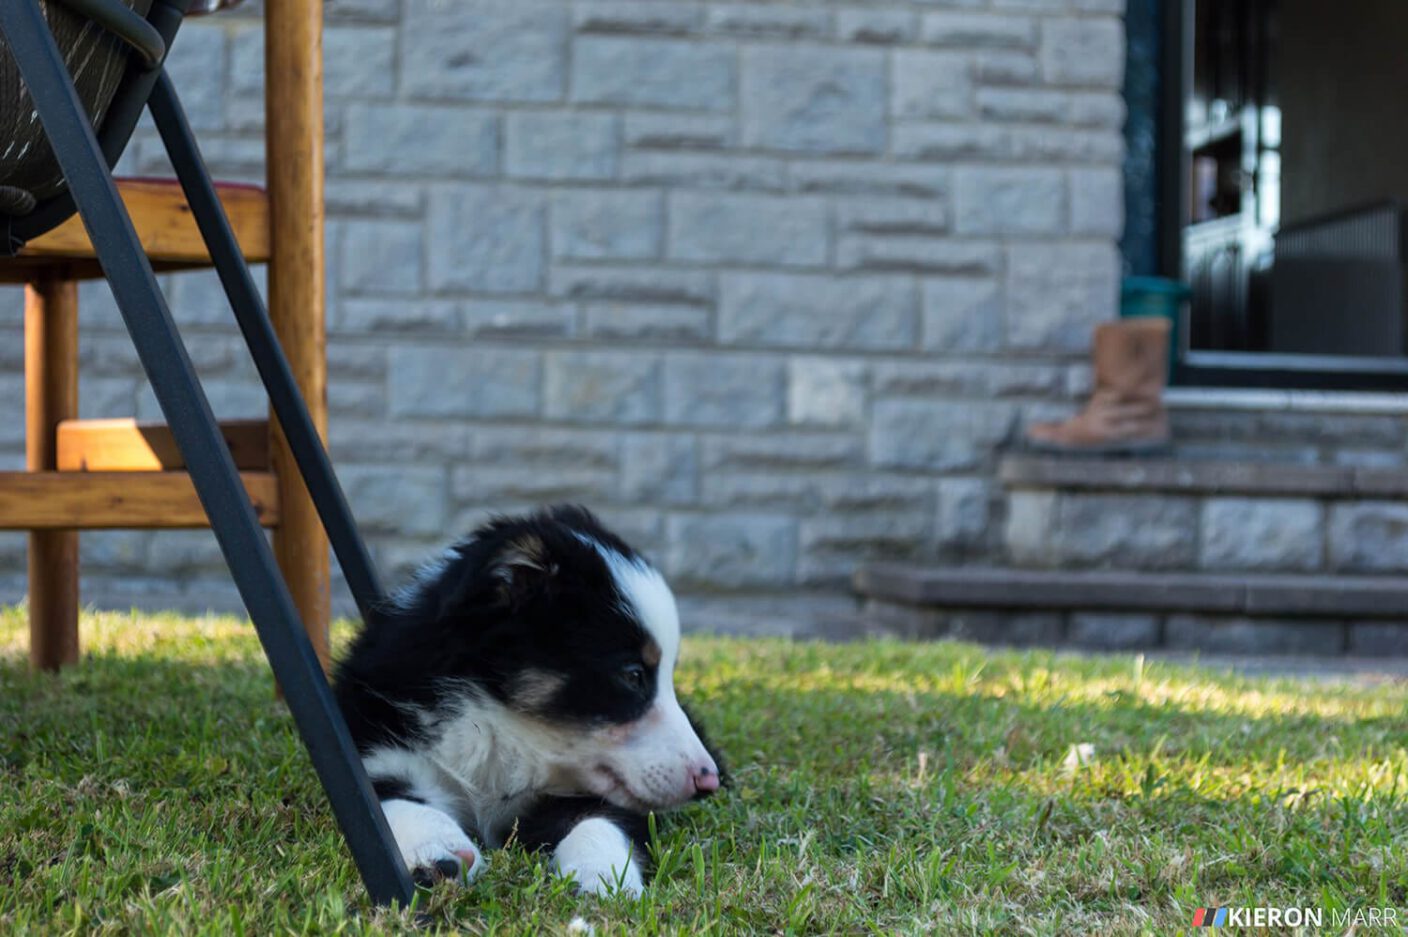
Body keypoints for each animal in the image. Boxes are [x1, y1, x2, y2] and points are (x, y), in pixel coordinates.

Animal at [333, 504, 720, 890]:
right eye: (633, 675)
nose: (707, 781)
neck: (501, 731)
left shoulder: (604, 795)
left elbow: (601, 821)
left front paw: (603, 878)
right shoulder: (377, 750)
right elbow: (388, 801)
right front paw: (439, 853)